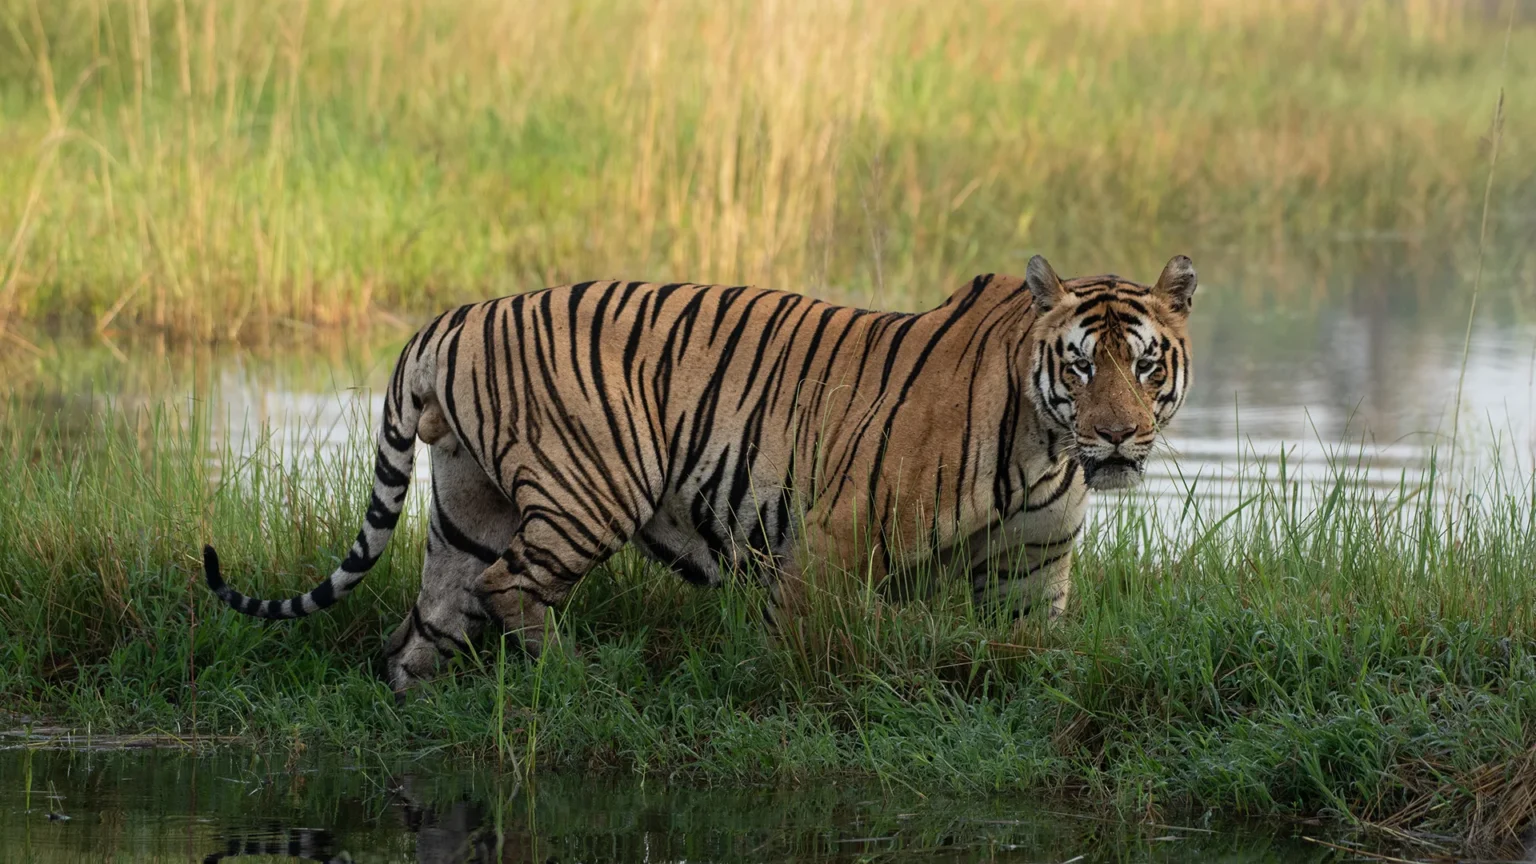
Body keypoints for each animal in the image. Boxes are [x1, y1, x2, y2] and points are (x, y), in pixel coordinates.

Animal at [202, 254, 1198, 693]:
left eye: (1146, 367)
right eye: (1080, 368)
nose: (1117, 438)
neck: (1045, 448)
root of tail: (450, 318)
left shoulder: (1034, 579)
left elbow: (1040, 657)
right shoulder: (830, 543)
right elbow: (840, 641)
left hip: (465, 510)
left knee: (424, 624)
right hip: (588, 491)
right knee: (511, 586)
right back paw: (578, 682)